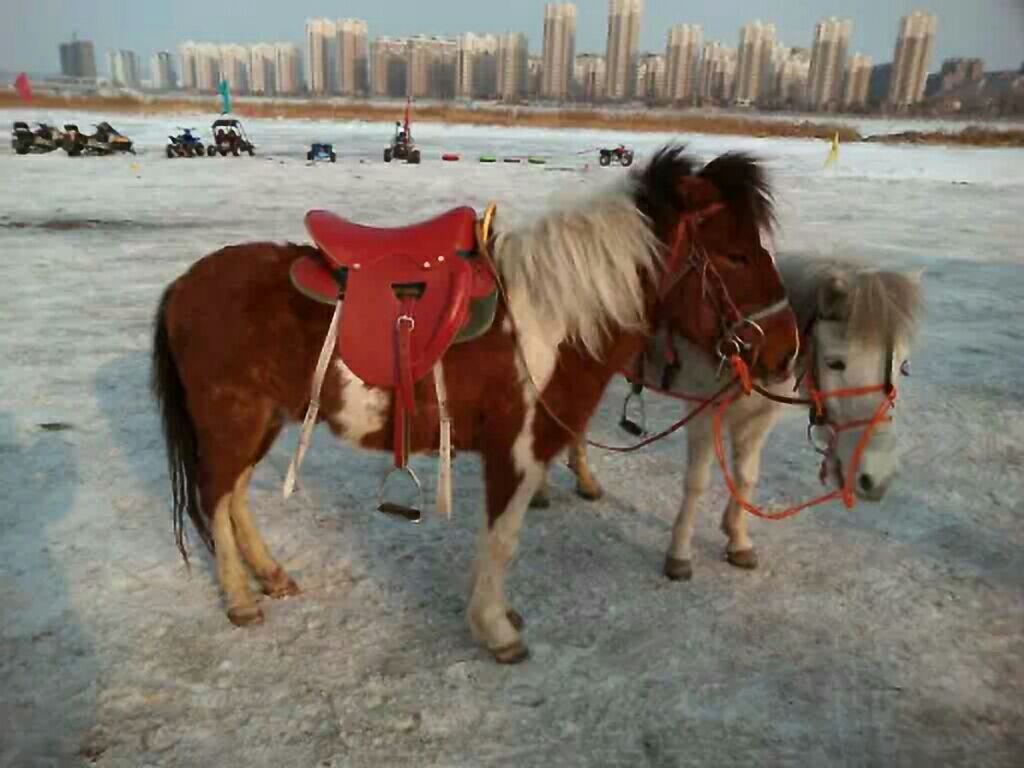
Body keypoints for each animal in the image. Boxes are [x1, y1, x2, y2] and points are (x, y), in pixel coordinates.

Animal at [149, 146, 801, 663]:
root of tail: (184, 284)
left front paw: (499, 618)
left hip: (260, 422)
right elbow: (502, 540)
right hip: (232, 421)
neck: (550, 319)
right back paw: (240, 598)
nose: (787, 350)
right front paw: (495, 629)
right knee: (215, 499)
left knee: (233, 497)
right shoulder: (515, 450)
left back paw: (270, 576)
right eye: (738, 255)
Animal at [544, 252, 923, 581]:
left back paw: (585, 481)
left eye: (903, 365)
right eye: (836, 363)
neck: (754, 345)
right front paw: (679, 555)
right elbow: (696, 482)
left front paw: (737, 540)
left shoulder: (759, 417)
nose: (877, 477)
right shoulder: (703, 412)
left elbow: (746, 477)